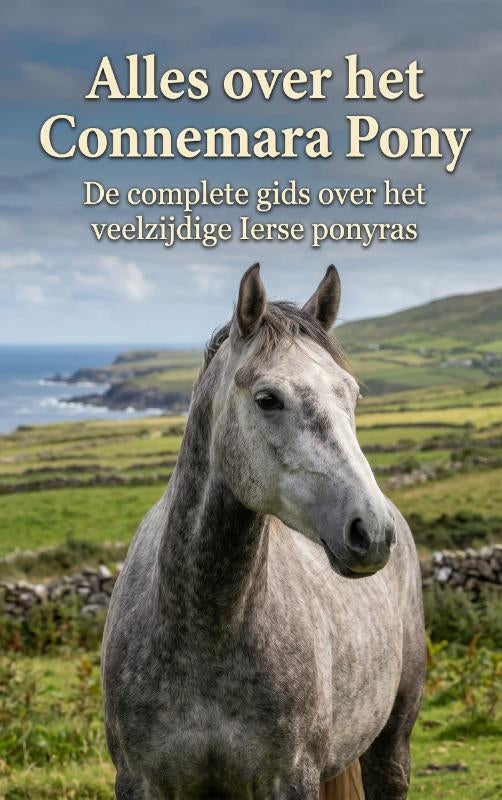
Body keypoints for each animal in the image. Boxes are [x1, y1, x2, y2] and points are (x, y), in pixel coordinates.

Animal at [102, 264, 426, 800]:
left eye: (352, 394)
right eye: (268, 399)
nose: (372, 531)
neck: (205, 631)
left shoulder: (291, 778)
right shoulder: (139, 780)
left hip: (393, 736)